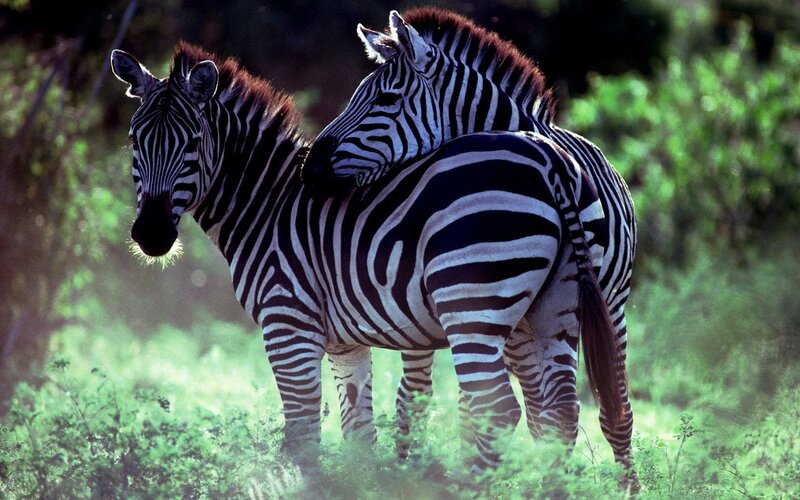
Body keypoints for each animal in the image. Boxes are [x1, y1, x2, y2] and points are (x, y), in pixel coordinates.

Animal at [111, 42, 621, 472]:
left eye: (193, 142)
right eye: (134, 141)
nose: (152, 234)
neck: (267, 205)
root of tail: (549, 158)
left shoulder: (288, 326)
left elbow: (302, 436)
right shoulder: (343, 343)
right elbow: (358, 432)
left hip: (472, 304)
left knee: (498, 409)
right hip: (554, 308)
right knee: (559, 413)